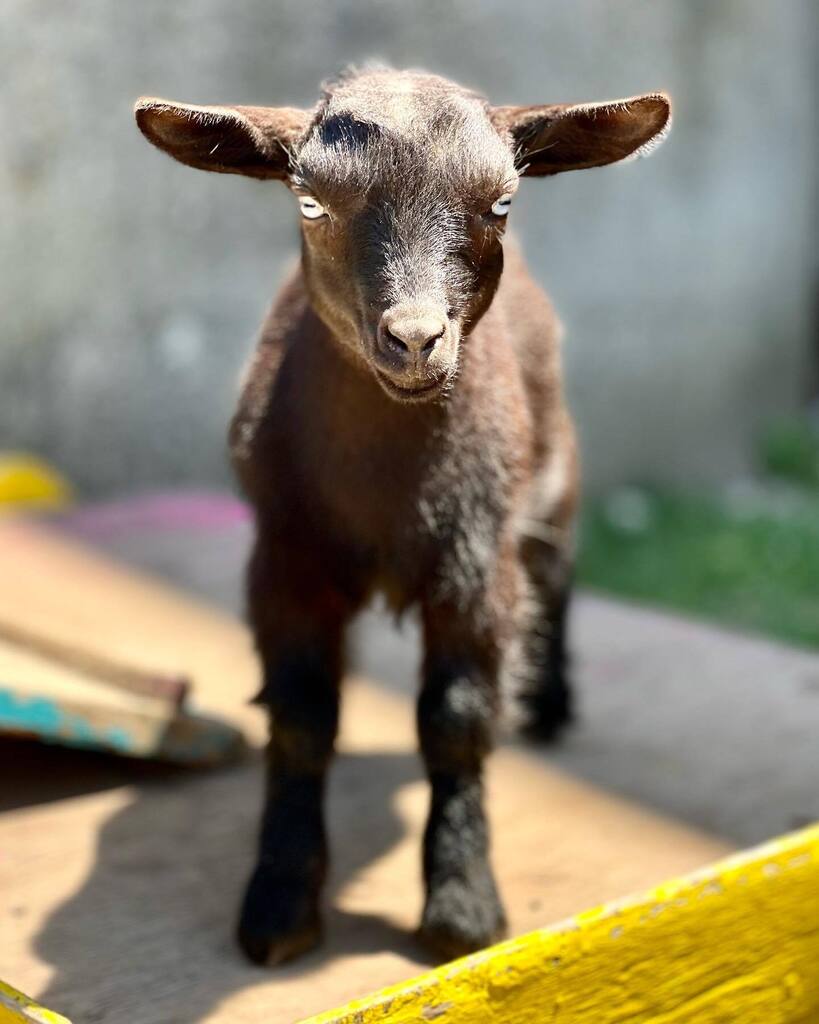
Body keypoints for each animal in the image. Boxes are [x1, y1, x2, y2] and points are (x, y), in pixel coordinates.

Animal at [135, 67, 670, 966]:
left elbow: (455, 721)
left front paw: (460, 908)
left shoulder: (475, 562)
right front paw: (279, 906)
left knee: (557, 571)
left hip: (551, 471)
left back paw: (550, 702)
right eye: (309, 202)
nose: (416, 339)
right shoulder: (284, 558)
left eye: (501, 202)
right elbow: (302, 717)